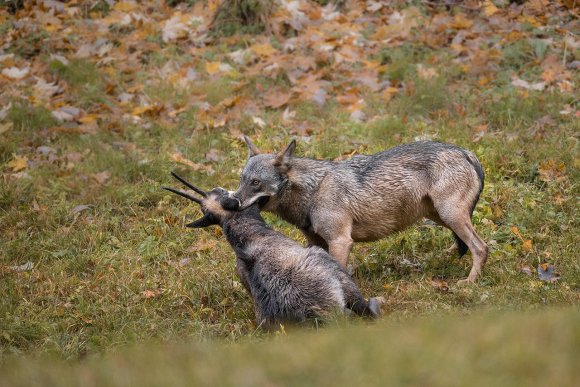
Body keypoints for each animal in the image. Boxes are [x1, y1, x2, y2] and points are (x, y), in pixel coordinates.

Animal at [233, 138, 488, 284]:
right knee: (467, 243)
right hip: (440, 216)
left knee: (481, 247)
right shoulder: (316, 243)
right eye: (242, 180)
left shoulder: (341, 241)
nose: (233, 202)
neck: (313, 190)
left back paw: (469, 283)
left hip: (449, 215)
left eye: (255, 183)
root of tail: (466, 152)